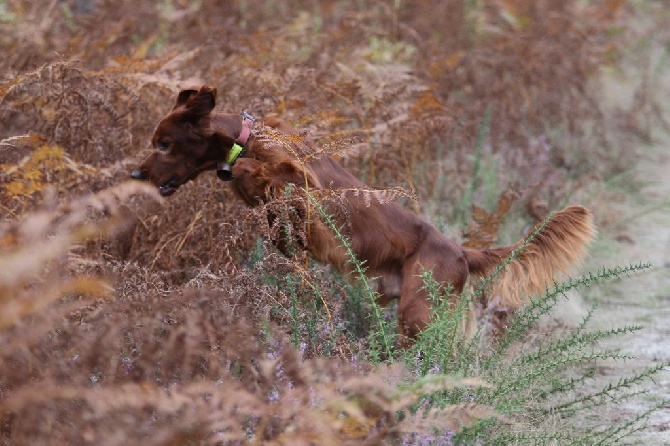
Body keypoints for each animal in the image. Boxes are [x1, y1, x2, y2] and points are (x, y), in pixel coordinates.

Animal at [131, 88, 600, 344]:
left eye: (165, 144)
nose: (135, 175)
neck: (245, 137)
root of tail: (462, 253)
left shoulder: (306, 184)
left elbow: (261, 170)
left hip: (418, 313)